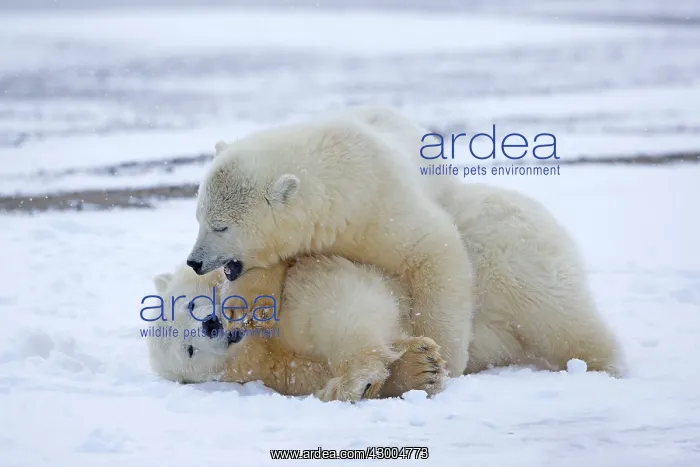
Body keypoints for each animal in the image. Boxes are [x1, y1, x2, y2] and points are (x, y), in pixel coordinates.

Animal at [147, 260, 447, 400]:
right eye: (189, 350)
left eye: (190, 303)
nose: (210, 324)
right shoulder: (280, 369)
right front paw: (420, 369)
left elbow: (337, 302)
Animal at [186, 113, 476, 377]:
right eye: (198, 218)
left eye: (220, 226)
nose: (194, 261)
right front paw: (242, 309)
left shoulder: (381, 210)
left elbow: (434, 248)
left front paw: (444, 359)